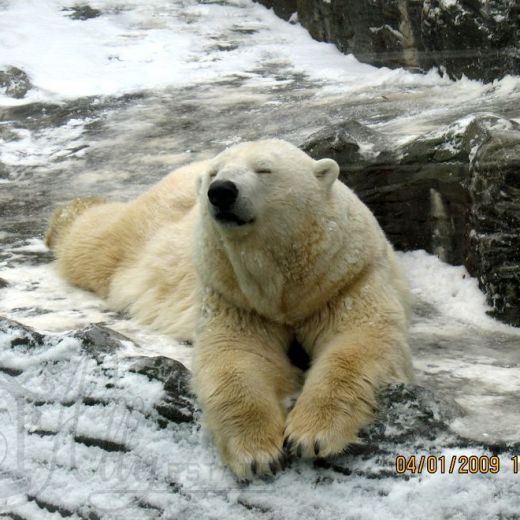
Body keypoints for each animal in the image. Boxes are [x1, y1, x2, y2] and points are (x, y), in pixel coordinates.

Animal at [47, 139, 414, 480]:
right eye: (216, 172)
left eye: (264, 169)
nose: (220, 191)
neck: (288, 282)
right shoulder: (234, 295)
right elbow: (238, 354)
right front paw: (258, 454)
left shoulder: (344, 279)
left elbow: (358, 339)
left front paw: (312, 435)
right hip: (149, 229)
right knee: (95, 246)